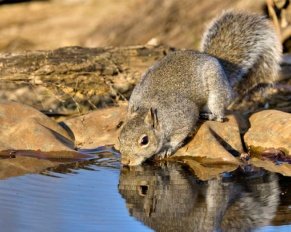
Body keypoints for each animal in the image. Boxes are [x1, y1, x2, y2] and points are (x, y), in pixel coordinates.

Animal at [119, 10, 282, 166]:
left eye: (144, 140)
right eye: (120, 136)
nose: (125, 162)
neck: (149, 109)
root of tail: (216, 61)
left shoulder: (183, 116)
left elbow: (178, 136)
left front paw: (166, 149)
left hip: (216, 94)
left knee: (220, 116)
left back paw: (210, 116)